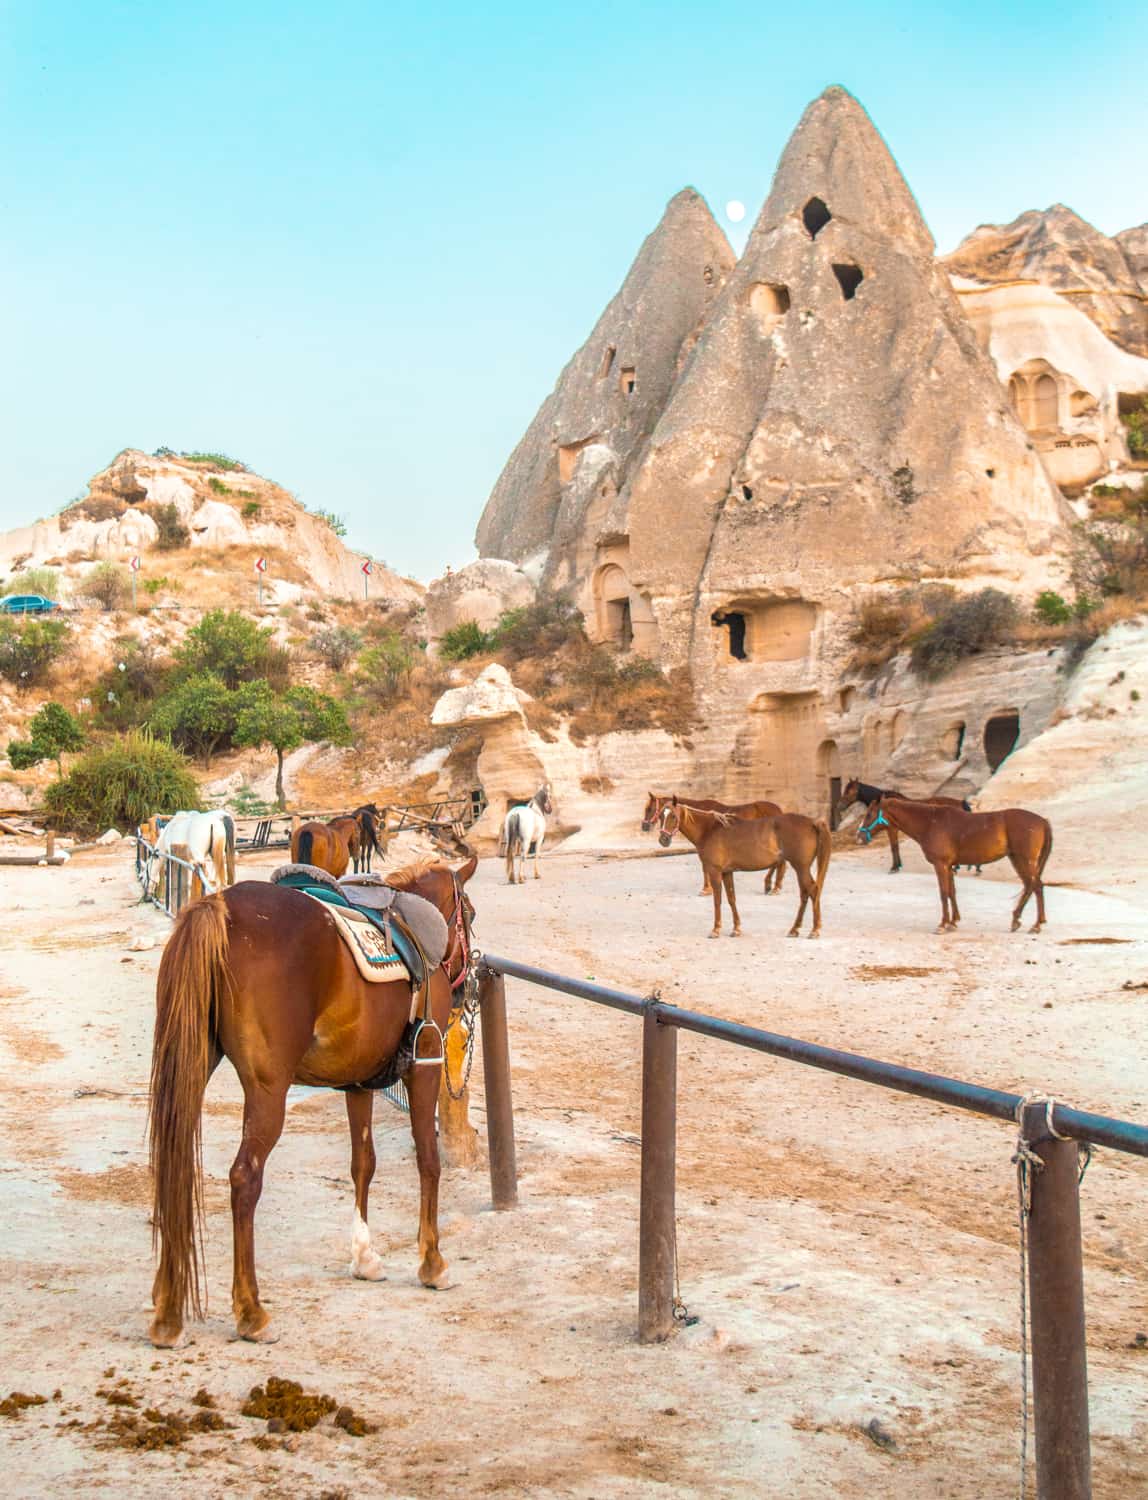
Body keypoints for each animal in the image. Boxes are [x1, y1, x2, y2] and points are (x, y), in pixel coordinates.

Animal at [148, 852, 480, 1356]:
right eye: (472, 916)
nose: (468, 984)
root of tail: (218, 908)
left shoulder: (360, 1081)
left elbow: (362, 1163)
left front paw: (364, 1257)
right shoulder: (424, 1066)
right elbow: (428, 1160)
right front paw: (432, 1262)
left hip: (189, 1063)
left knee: (175, 1161)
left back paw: (168, 1313)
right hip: (268, 1089)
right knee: (244, 1178)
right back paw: (251, 1313)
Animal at [636, 792, 786, 894]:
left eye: (649, 809)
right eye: (661, 815)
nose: (644, 826)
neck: (705, 823)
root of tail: (779, 810)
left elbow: (705, 868)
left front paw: (706, 889)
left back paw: (774, 886)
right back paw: (772, 885)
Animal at [657, 798, 828, 936]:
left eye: (673, 816)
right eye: (660, 816)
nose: (663, 840)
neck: (709, 830)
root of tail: (812, 822)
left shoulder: (714, 871)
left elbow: (717, 900)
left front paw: (716, 929)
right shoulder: (727, 872)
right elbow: (731, 898)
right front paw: (736, 929)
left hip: (801, 867)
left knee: (813, 891)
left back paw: (815, 930)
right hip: (800, 869)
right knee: (805, 894)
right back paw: (794, 929)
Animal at [858, 804, 1050, 930]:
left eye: (869, 814)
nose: (859, 836)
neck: (931, 822)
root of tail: (1043, 821)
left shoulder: (941, 865)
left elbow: (944, 894)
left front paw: (943, 924)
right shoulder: (949, 866)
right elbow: (952, 892)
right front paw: (953, 921)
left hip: (1025, 861)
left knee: (1037, 886)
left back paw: (1036, 925)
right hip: (1017, 860)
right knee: (1029, 886)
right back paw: (1017, 920)